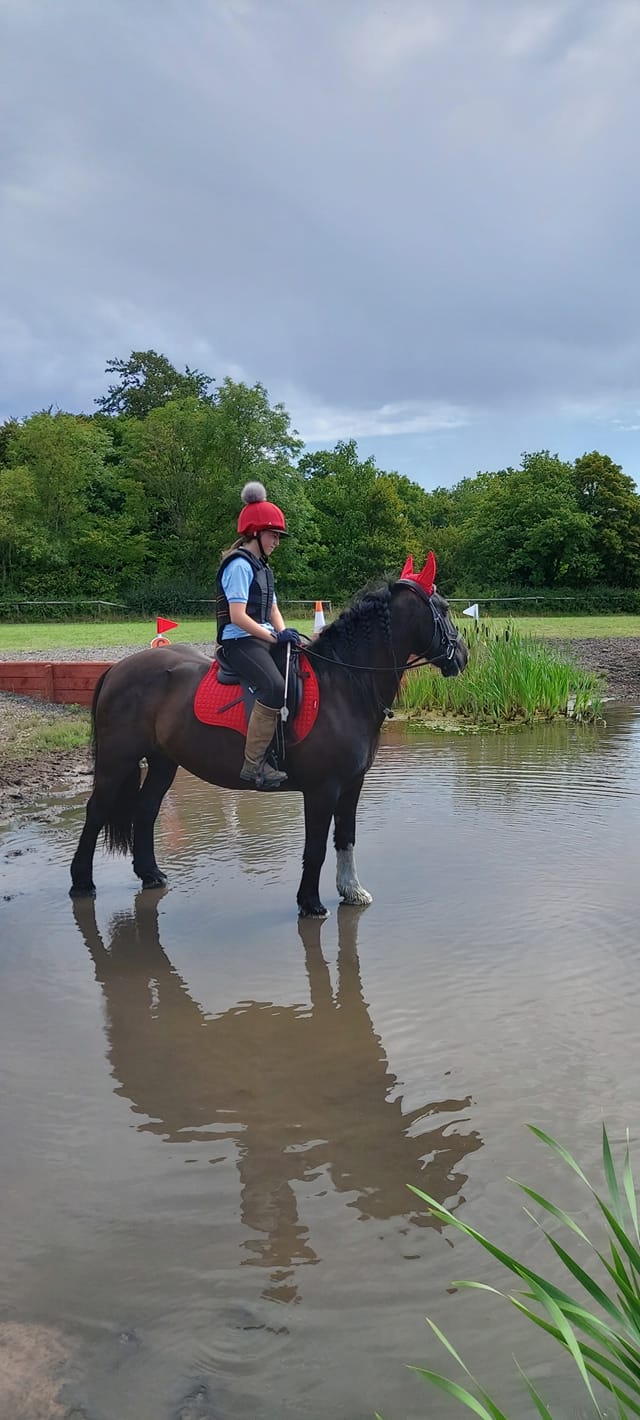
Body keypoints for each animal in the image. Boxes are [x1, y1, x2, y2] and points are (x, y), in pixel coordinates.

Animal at [70, 558, 468, 917]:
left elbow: (345, 838)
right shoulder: (322, 790)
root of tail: (116, 670)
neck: (344, 684)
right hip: (117, 760)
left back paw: (150, 874)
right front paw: (310, 903)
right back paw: (82, 883)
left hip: (163, 761)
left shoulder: (352, 785)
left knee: (147, 808)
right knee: (96, 811)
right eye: (445, 609)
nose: (461, 656)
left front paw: (351, 891)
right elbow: (316, 849)